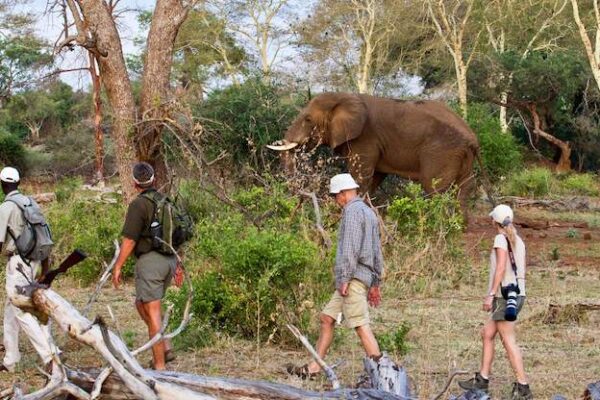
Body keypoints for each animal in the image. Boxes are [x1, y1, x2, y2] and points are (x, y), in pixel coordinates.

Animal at [270, 92, 480, 214]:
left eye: (307, 119)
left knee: (434, 188)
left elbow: (360, 175)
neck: (343, 96)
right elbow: (374, 177)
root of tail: (472, 138)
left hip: (441, 152)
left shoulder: (365, 137)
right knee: (464, 188)